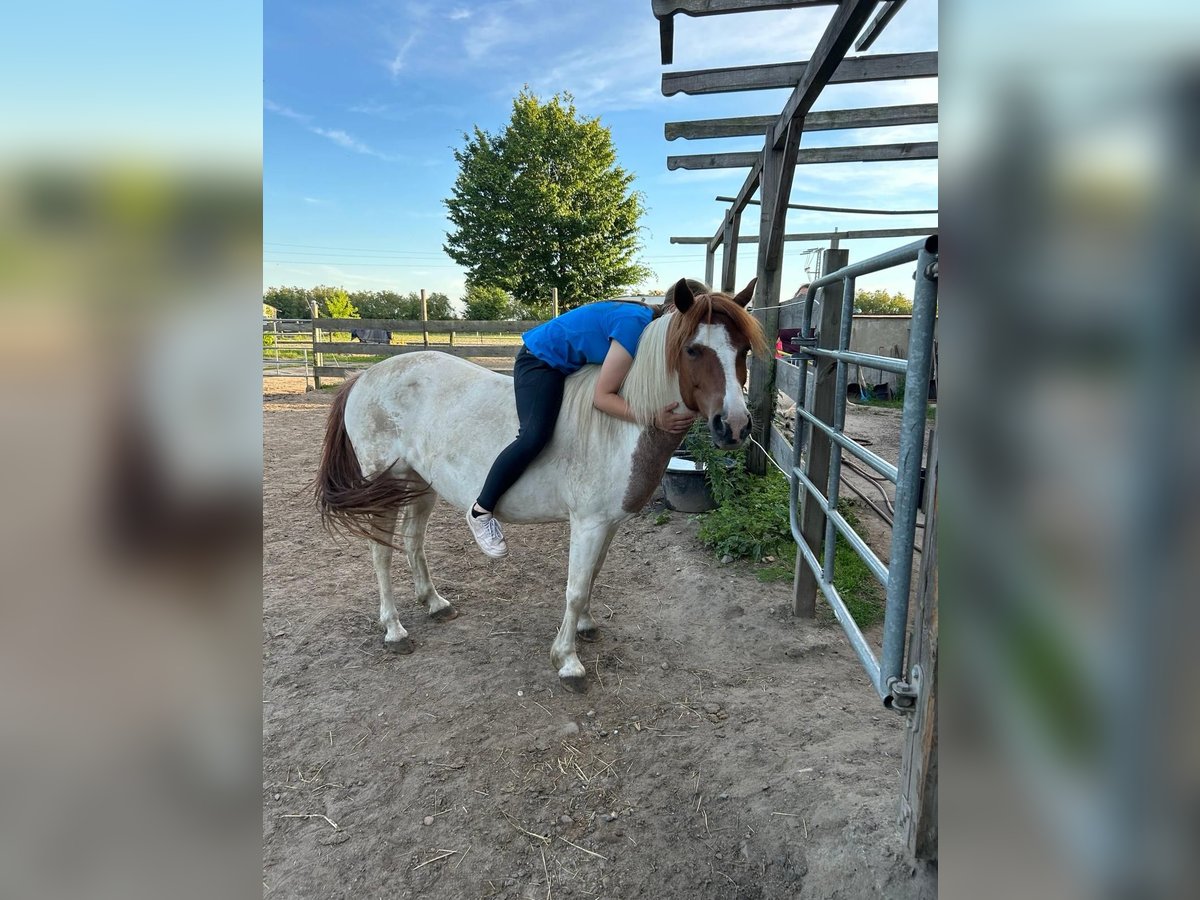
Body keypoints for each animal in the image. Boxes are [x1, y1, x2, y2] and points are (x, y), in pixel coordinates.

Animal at [315, 278, 767, 692]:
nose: (734, 426)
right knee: (380, 554)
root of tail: (363, 377)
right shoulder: (588, 523)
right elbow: (575, 588)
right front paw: (567, 661)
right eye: (693, 350)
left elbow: (592, 577)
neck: (620, 423)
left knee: (412, 542)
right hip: (385, 484)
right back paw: (394, 629)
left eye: (743, 350)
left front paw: (586, 627)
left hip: (418, 483)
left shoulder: (608, 523)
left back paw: (435, 603)